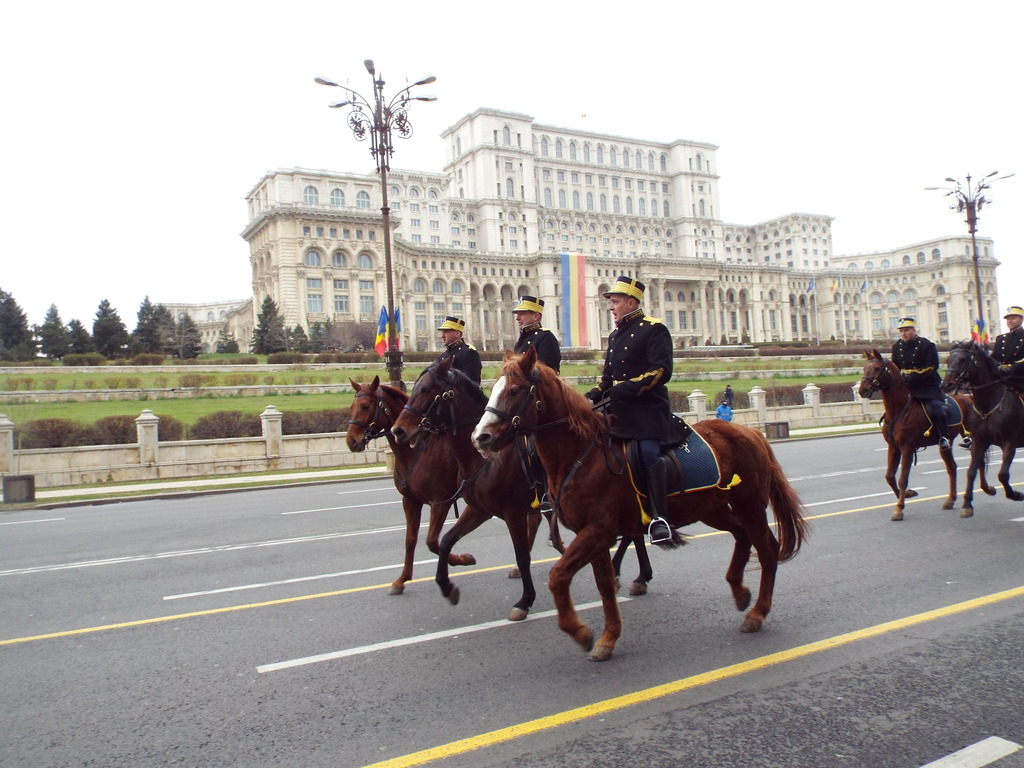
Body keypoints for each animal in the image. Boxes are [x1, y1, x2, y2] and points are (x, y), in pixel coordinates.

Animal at [342, 378, 473, 593]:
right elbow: (410, 540)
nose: (351, 440)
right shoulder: (410, 501)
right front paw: (402, 579)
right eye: (352, 406)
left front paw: (461, 559)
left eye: (366, 406)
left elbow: (433, 542)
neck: (415, 451)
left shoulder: (440, 502)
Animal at [389, 358, 548, 622]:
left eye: (426, 389)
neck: (484, 457)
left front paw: (525, 601)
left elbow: (522, 555)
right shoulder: (478, 509)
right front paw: (448, 585)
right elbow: (445, 540)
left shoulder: (511, 512)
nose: (398, 430)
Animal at [471, 348, 806, 663]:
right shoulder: (592, 533)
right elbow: (603, 585)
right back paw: (738, 590)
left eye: (514, 390)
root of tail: (752, 432)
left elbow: (558, 576)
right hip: (713, 508)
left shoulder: (599, 530)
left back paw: (757, 612)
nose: (480, 437)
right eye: (494, 386)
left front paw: (580, 632)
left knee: (766, 548)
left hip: (750, 504)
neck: (581, 454)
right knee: (741, 535)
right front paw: (607, 638)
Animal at [860, 350, 978, 524]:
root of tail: (967, 397)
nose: (862, 390)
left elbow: (902, 478)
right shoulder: (893, 447)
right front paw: (906, 495)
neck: (899, 409)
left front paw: (899, 509)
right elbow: (889, 476)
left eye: (876, 368)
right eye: (864, 368)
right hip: (946, 443)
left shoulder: (907, 448)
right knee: (952, 467)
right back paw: (950, 499)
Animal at [937, 344, 1019, 514]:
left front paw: (1015, 494)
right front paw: (967, 504)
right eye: (947, 360)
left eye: (963, 359)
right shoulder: (979, 441)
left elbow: (1002, 474)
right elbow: (971, 471)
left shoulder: (1010, 443)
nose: (946, 385)